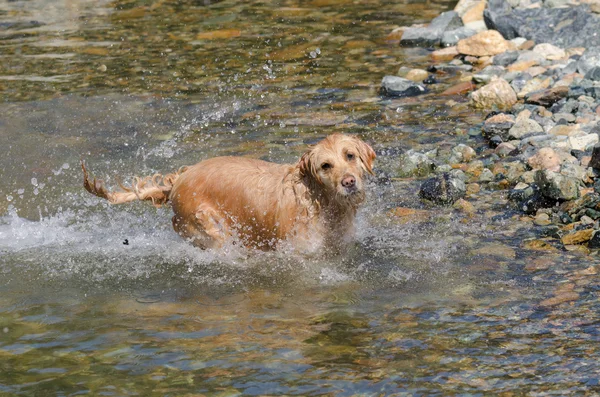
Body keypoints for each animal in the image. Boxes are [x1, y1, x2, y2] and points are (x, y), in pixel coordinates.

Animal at [83, 133, 376, 251]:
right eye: (326, 166)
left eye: (350, 155)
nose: (349, 182)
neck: (322, 203)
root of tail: (179, 178)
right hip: (211, 227)